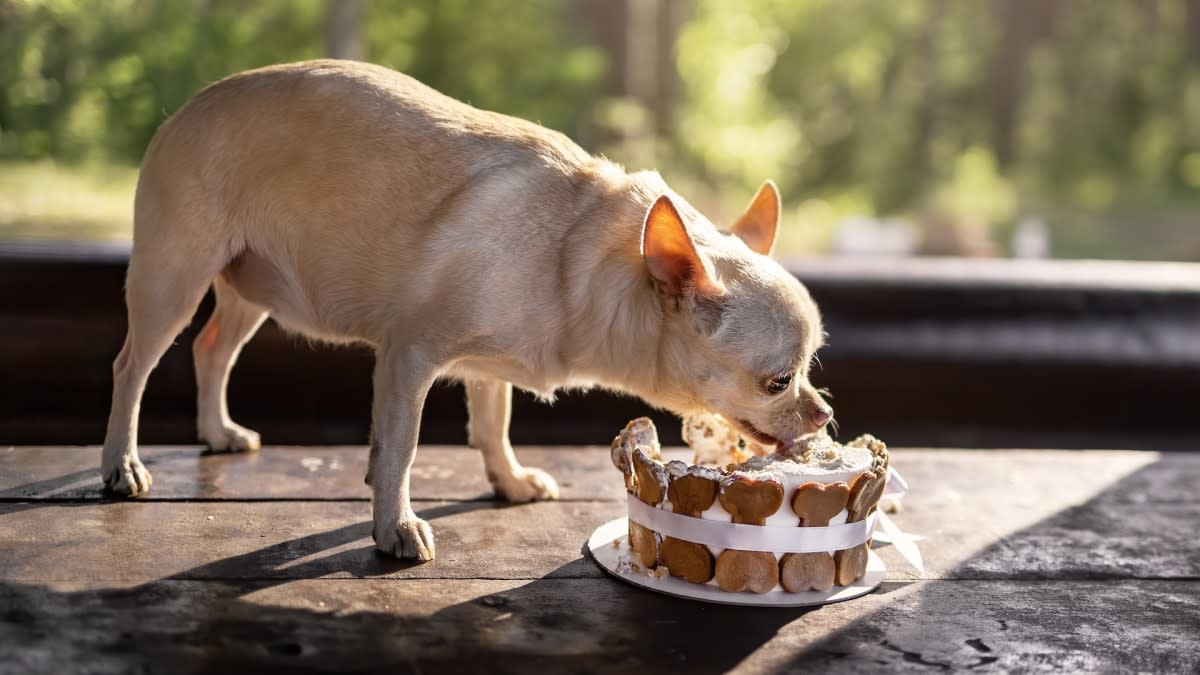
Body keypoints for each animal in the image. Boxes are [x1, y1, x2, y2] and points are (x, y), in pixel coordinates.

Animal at [100, 61, 835, 557]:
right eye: (778, 381)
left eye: (811, 370)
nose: (823, 413)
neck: (577, 251)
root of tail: (186, 108)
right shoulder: (409, 357)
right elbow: (401, 445)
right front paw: (395, 524)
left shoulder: (488, 365)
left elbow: (491, 422)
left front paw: (506, 480)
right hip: (174, 278)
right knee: (132, 366)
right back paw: (121, 464)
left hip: (250, 290)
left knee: (211, 348)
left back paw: (217, 430)